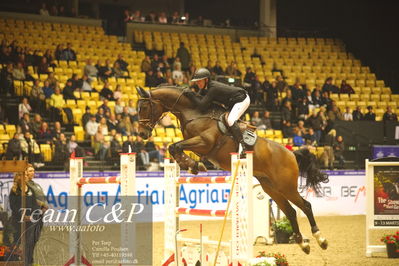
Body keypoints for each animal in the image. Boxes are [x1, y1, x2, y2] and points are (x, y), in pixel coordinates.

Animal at [136, 85, 330, 254]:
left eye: (144, 107)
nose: (142, 134)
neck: (194, 112)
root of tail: (291, 153)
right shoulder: (198, 146)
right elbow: (174, 147)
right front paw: (191, 165)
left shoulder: (204, 142)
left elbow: (175, 146)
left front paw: (192, 165)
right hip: (270, 187)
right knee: (290, 211)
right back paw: (302, 243)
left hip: (286, 186)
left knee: (305, 205)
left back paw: (320, 239)